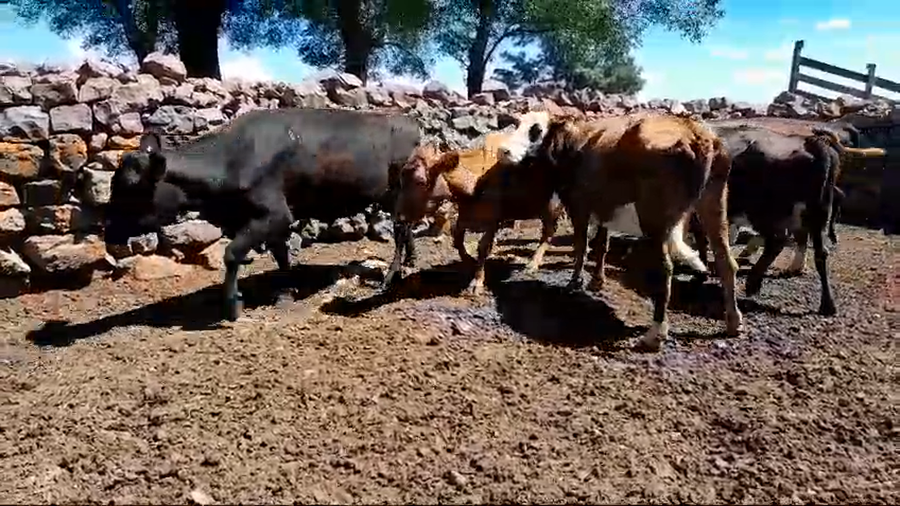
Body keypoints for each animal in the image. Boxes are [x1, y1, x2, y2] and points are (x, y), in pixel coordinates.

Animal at [104, 107, 421, 321]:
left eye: (132, 189)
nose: (109, 234)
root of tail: (407, 121)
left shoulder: (276, 213)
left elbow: (232, 254)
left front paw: (233, 304)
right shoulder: (268, 219)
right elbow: (280, 256)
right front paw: (285, 291)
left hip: (398, 192)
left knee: (400, 229)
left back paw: (390, 277)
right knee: (405, 229)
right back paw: (409, 260)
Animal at [495, 111, 743, 352]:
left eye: (536, 129)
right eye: (517, 124)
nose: (503, 150)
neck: (571, 144)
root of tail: (695, 132)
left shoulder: (578, 204)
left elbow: (581, 245)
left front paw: (575, 282)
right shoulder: (604, 206)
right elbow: (601, 244)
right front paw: (597, 281)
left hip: (653, 216)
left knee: (665, 269)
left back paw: (654, 335)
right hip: (714, 202)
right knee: (725, 261)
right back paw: (733, 322)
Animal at [689, 125, 885, 316]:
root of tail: (812, 142)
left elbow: (702, 239)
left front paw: (701, 270)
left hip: (763, 210)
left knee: (777, 241)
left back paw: (753, 282)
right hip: (817, 211)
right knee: (819, 252)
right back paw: (826, 304)